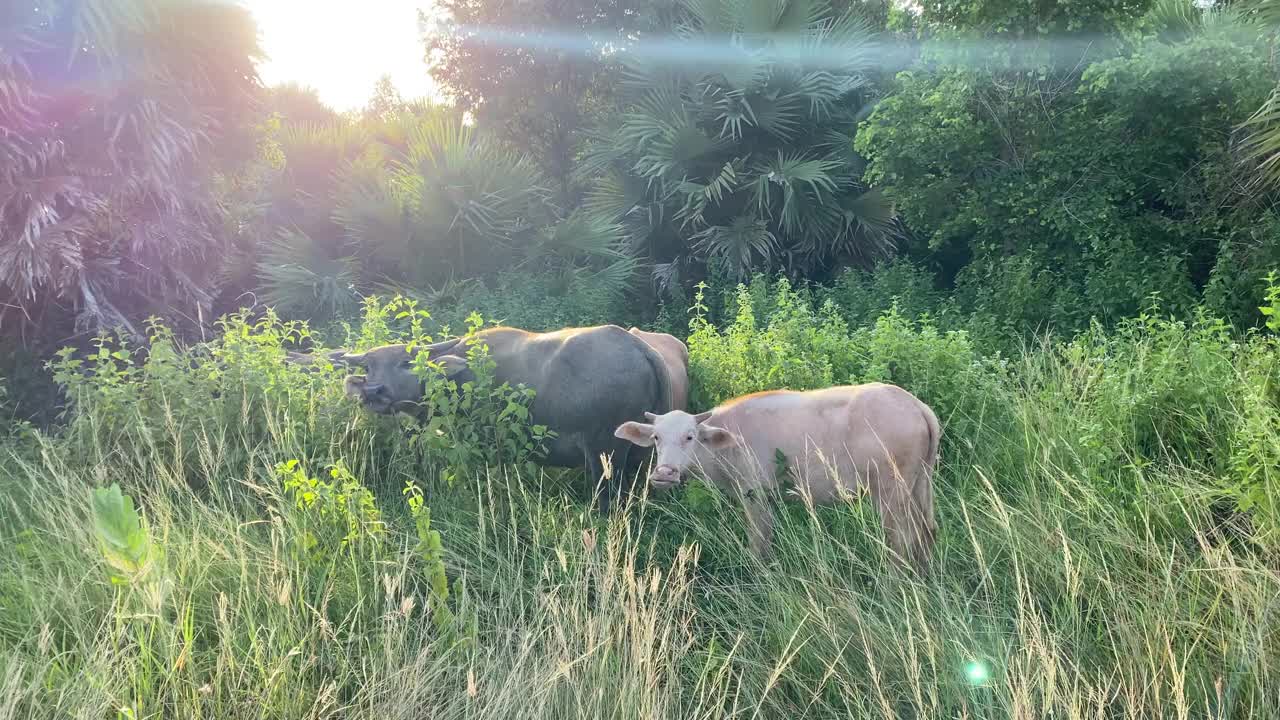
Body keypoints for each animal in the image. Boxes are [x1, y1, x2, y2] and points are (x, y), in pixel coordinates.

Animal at [330, 325, 675, 509]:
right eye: (368, 366)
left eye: (405, 362)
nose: (373, 391)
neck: (460, 377)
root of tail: (638, 347)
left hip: (605, 453)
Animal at [616, 384, 942, 568]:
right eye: (656, 437)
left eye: (689, 436)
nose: (665, 473)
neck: (728, 442)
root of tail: (916, 405)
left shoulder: (755, 494)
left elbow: (759, 543)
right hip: (920, 484)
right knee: (927, 532)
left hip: (891, 493)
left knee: (901, 541)